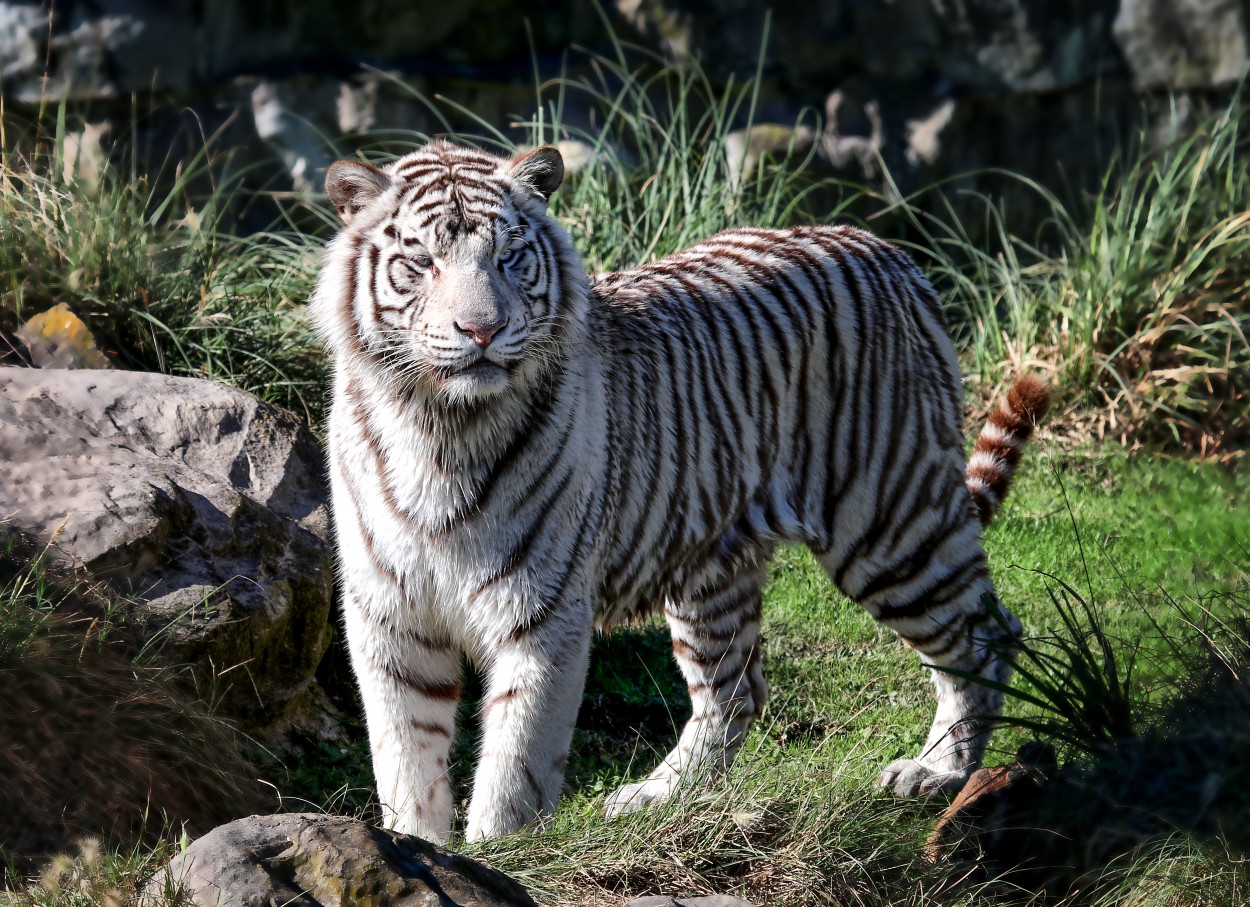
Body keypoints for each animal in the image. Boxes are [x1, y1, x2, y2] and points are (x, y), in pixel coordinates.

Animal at [310, 142, 1045, 844]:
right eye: (422, 261)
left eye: (510, 258)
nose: (482, 330)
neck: (439, 424)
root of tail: (890, 251)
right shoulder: (388, 614)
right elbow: (404, 755)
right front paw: (418, 844)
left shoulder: (543, 611)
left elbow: (517, 756)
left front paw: (500, 851)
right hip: (712, 564)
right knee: (736, 689)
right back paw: (658, 795)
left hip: (892, 522)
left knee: (987, 635)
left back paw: (939, 771)